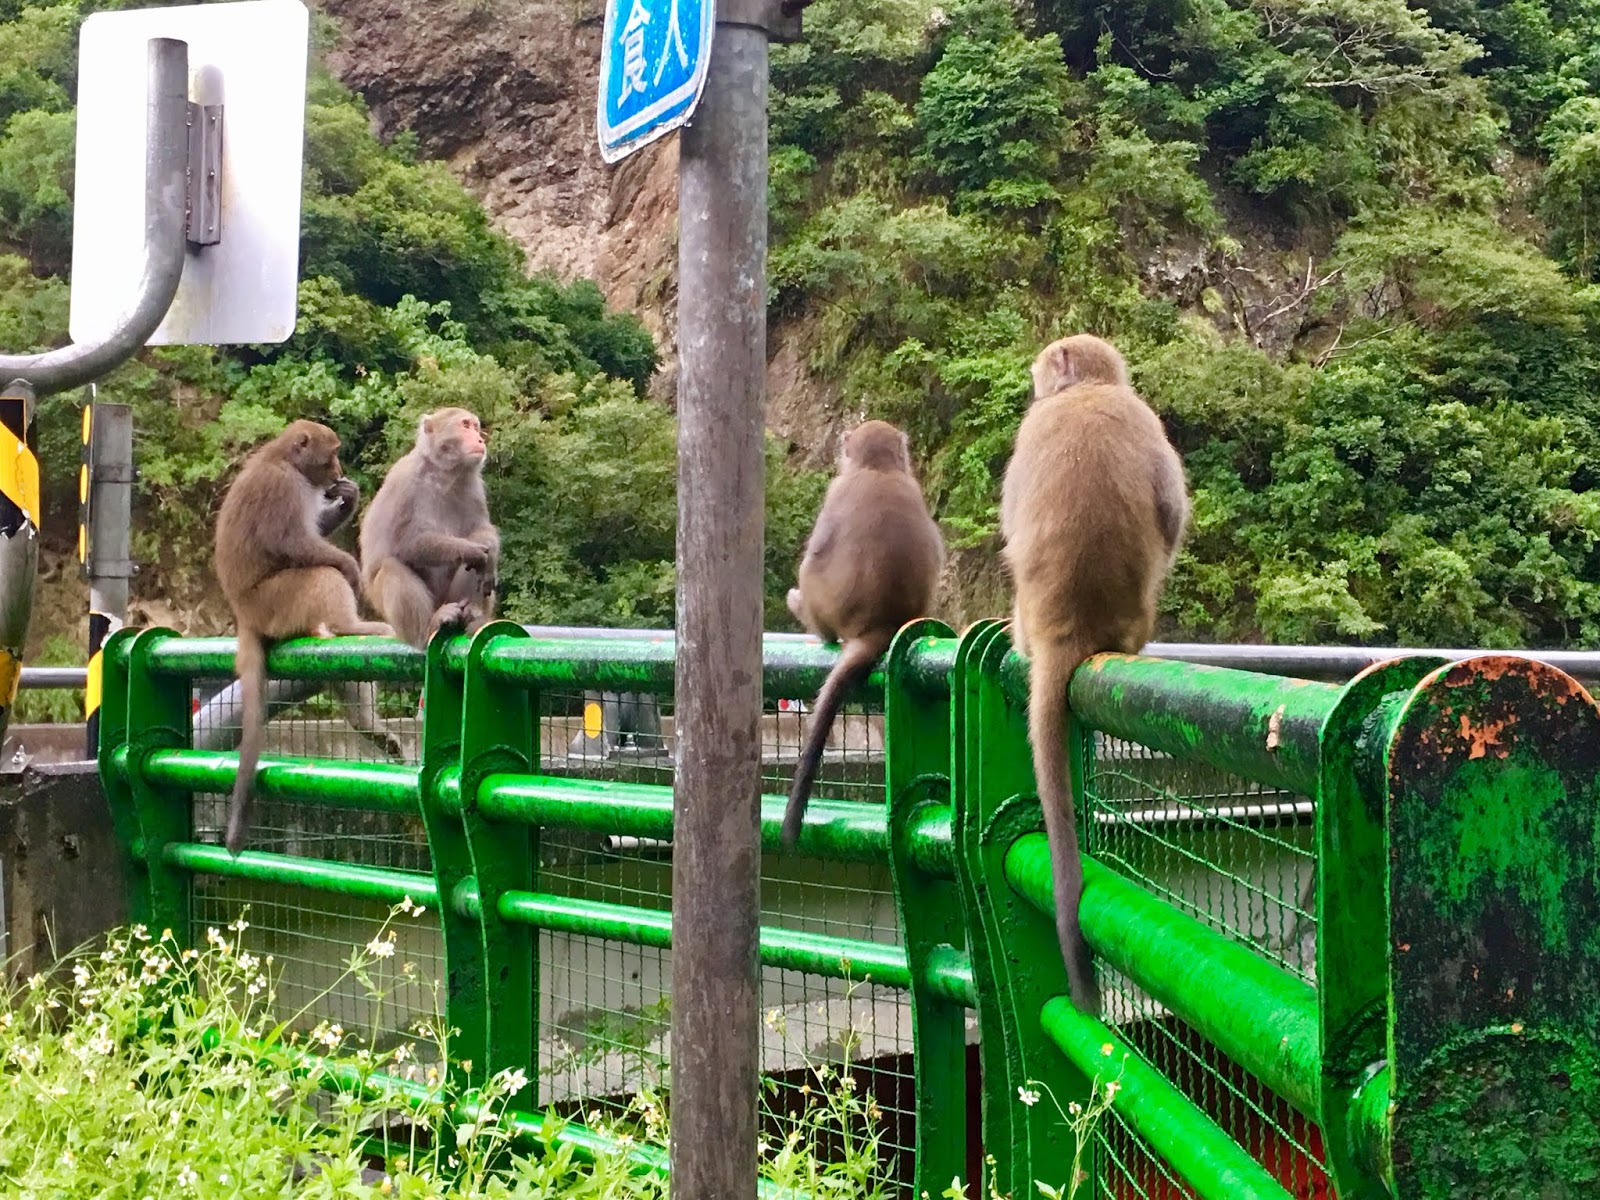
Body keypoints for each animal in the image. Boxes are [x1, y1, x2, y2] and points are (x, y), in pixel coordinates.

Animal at [214, 420, 394, 856]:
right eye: (332, 453)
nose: (339, 470)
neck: (284, 460)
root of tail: (244, 615)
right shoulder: (283, 488)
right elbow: (294, 542)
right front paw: (350, 565)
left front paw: (348, 500)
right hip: (277, 602)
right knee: (320, 575)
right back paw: (355, 625)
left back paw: (368, 725)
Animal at [359, 407, 500, 651]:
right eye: (465, 425)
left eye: (475, 427)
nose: (480, 439)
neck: (444, 474)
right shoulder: (404, 482)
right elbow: (405, 544)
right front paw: (471, 550)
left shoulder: (474, 487)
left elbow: (481, 529)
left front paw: (489, 550)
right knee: (391, 567)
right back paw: (428, 630)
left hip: (452, 598)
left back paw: (473, 617)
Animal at [781, 420, 945, 849]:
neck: (879, 469)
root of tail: (879, 626)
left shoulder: (836, 491)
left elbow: (816, 551)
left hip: (826, 608)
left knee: (810, 571)